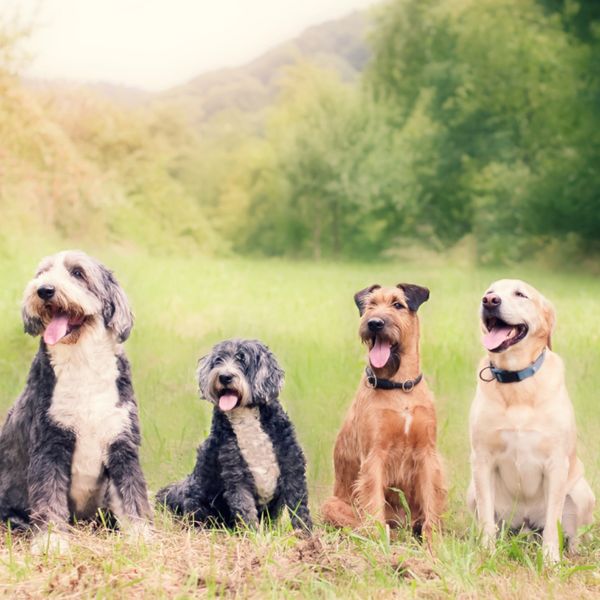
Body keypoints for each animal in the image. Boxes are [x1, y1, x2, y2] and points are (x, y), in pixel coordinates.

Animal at [0, 250, 152, 552]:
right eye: (42, 273)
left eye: (78, 273)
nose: (44, 290)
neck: (83, 364)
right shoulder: (50, 443)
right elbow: (49, 497)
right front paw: (51, 542)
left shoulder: (122, 443)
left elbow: (133, 493)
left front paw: (141, 536)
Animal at [155, 340, 312, 532]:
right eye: (218, 360)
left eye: (242, 360)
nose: (225, 376)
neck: (245, 416)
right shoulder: (236, 475)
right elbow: (245, 510)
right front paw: (253, 535)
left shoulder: (292, 466)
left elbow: (299, 507)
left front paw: (306, 534)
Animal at [324, 282, 446, 540]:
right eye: (370, 305)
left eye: (397, 304)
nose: (374, 323)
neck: (400, 387)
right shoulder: (374, 455)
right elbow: (373, 505)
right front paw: (379, 542)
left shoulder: (427, 453)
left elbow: (432, 504)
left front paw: (434, 544)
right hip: (331, 505)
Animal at [466, 278, 592, 560]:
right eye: (489, 292)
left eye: (520, 294)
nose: (489, 301)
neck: (517, 382)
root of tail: (525, 525)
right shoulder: (482, 459)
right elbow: (486, 519)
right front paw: (487, 553)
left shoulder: (556, 463)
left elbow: (553, 524)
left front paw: (551, 560)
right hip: (472, 492)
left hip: (582, 492)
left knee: (574, 532)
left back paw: (573, 552)